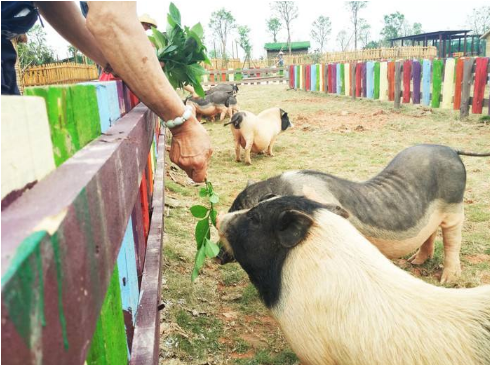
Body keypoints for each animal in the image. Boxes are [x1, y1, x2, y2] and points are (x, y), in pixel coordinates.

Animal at [220, 144, 490, 282]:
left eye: (243, 210)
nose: (218, 256)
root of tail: (451, 149)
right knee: (431, 233)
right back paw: (415, 262)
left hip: (455, 206)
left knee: (452, 238)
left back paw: (448, 280)